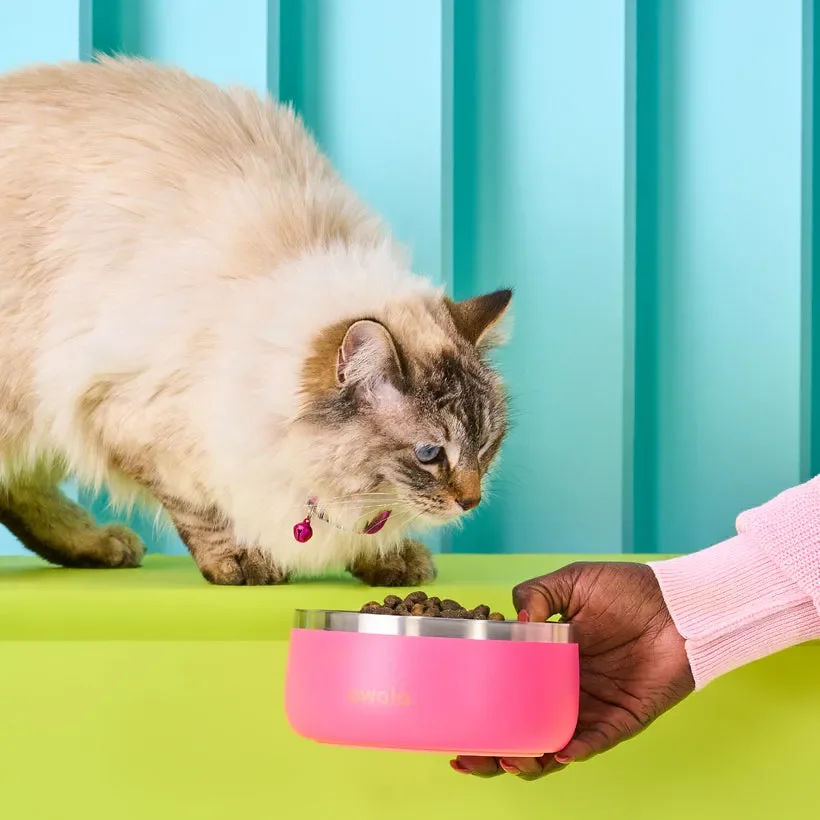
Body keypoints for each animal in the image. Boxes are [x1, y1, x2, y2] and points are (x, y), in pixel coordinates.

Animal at [0, 56, 512, 584]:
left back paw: (99, 546)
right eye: (429, 454)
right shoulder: (131, 421)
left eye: (487, 447)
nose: (471, 502)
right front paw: (243, 560)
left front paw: (388, 558)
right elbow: (204, 510)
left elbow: (365, 524)